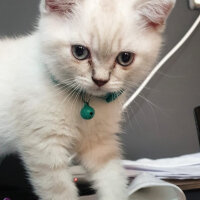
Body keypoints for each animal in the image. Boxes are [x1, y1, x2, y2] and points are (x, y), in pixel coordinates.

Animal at [0, 0, 175, 200]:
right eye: (79, 52)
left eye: (125, 58)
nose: (100, 80)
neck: (84, 101)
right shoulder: (44, 148)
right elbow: (61, 192)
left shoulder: (100, 143)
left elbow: (113, 179)